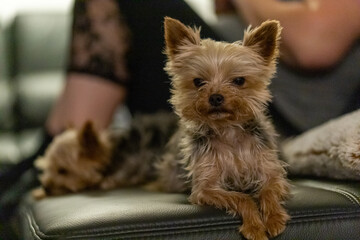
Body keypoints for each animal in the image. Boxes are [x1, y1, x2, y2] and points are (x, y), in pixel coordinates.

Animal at [33, 17, 292, 240]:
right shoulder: (205, 188)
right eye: (198, 82)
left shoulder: (270, 171)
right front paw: (255, 226)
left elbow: (268, 190)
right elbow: (242, 198)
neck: (228, 132)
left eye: (239, 81)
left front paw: (274, 219)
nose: (216, 97)